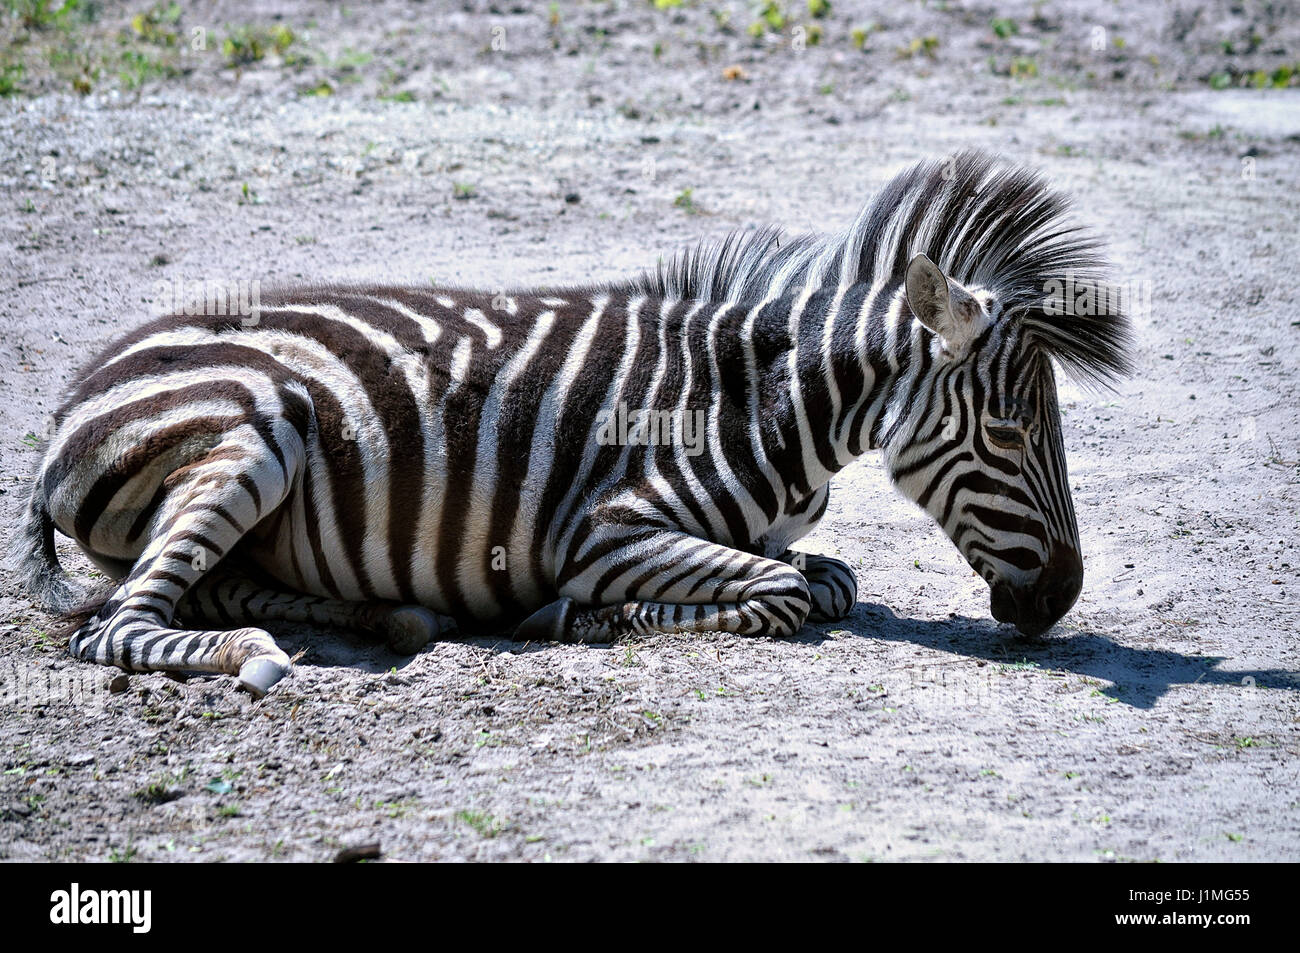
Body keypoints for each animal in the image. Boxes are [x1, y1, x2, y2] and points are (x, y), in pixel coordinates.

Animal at [6, 151, 1132, 697]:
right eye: (1007, 435)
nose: (1061, 598)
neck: (767, 404)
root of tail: (70, 398)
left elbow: (829, 578)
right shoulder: (604, 529)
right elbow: (780, 595)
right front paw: (582, 617)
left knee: (205, 586)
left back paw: (384, 614)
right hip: (256, 429)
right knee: (122, 625)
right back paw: (257, 653)